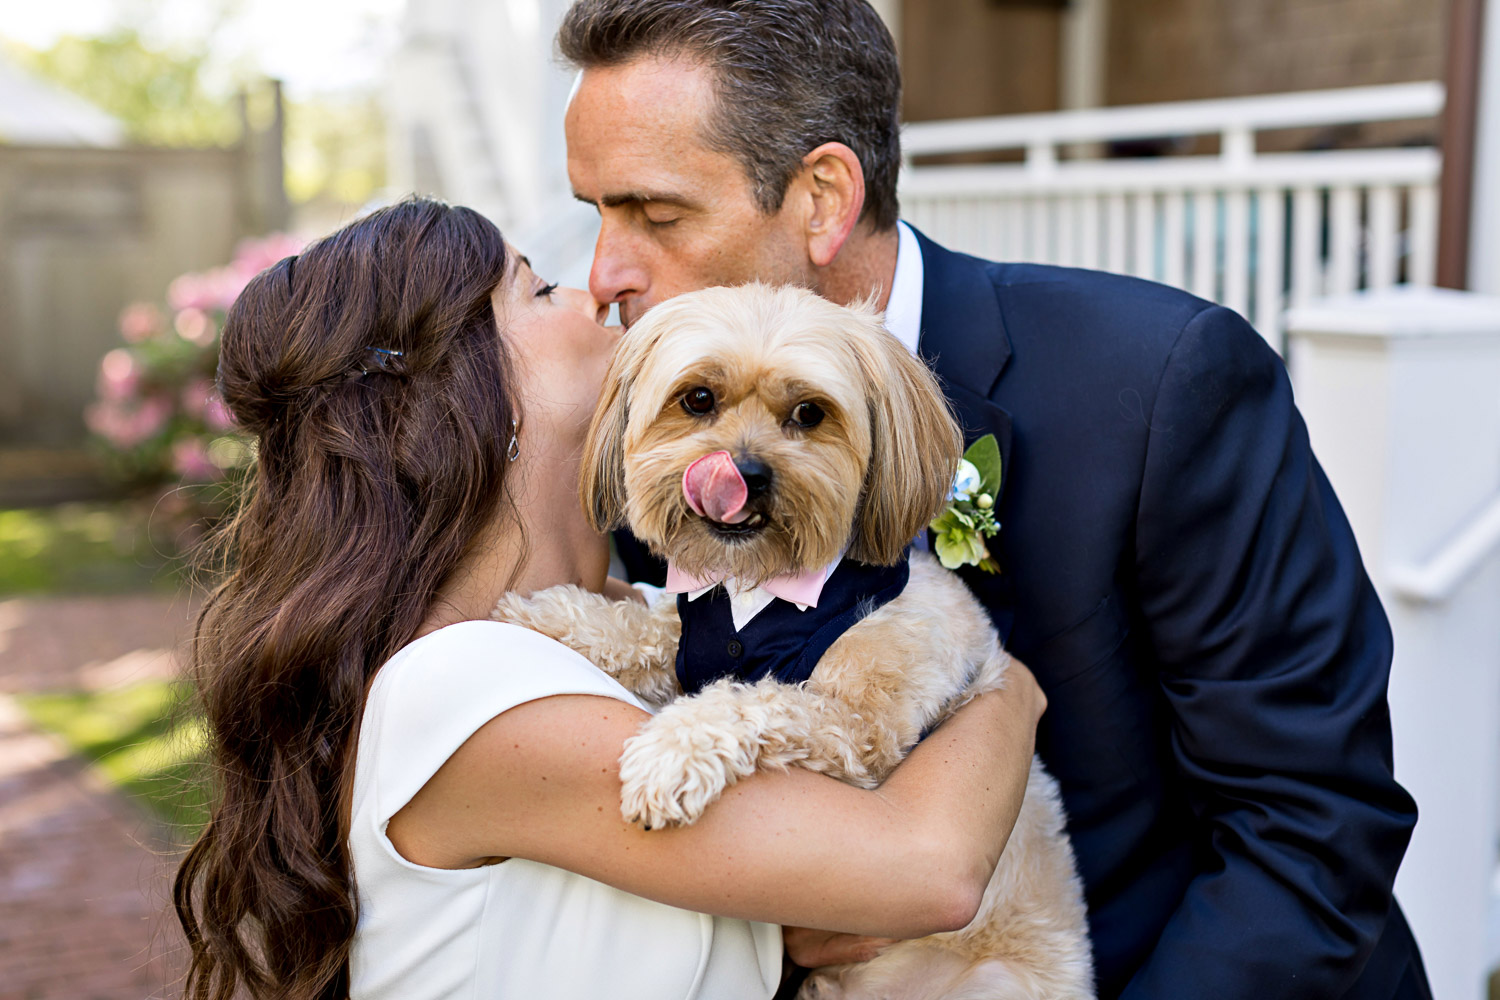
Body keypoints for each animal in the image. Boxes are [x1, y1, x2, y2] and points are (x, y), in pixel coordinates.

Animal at [498, 283, 1098, 1000]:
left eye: (809, 413)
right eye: (697, 399)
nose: (745, 473)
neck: (763, 590)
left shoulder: (861, 731)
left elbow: (750, 700)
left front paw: (671, 754)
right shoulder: (689, 634)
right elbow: (645, 626)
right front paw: (543, 615)